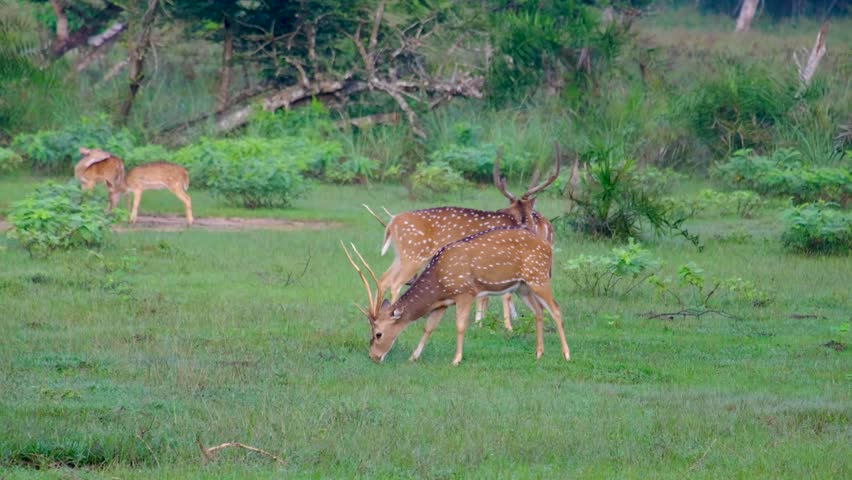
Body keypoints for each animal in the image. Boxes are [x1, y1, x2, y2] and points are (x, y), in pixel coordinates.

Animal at [342, 226, 570, 365]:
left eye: (378, 333)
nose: (373, 356)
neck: (439, 283)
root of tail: (548, 247)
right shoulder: (443, 302)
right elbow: (428, 327)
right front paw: (413, 357)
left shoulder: (465, 292)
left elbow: (460, 325)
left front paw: (456, 359)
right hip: (522, 286)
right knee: (539, 311)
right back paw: (539, 353)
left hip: (538, 276)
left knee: (557, 309)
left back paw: (566, 354)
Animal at [363, 144, 561, 332]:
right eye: (532, 213)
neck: (517, 220)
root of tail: (392, 223)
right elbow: (502, 294)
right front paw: (504, 326)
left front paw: (481, 322)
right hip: (414, 254)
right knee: (395, 282)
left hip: (401, 255)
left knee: (383, 278)